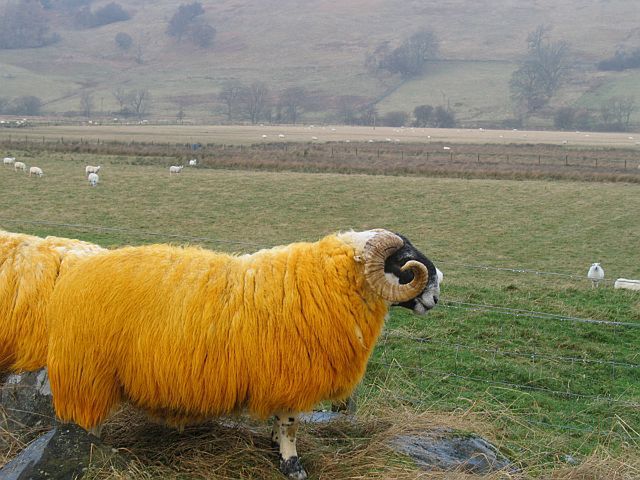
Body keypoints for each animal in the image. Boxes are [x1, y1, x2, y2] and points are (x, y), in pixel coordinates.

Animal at [47, 231, 440, 478]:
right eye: (405, 260)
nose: (437, 293)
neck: (326, 284)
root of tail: (76, 269)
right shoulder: (289, 375)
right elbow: (291, 425)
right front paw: (292, 465)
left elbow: (280, 423)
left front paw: (274, 446)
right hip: (88, 372)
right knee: (85, 425)